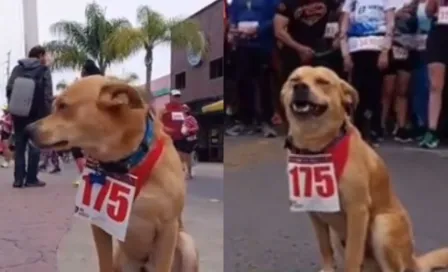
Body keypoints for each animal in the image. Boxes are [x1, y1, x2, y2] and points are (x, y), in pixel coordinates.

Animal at [25, 76, 198, 272]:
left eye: (63, 106)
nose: (26, 129)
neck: (126, 166)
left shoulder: (167, 230)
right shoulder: (99, 225)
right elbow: (104, 263)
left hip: (186, 243)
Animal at [282, 66, 448, 272]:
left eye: (322, 82)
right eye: (294, 80)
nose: (299, 87)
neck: (317, 148)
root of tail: (413, 259)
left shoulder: (357, 210)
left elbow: (353, 255)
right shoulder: (314, 210)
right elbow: (324, 247)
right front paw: (328, 268)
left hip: (382, 226)